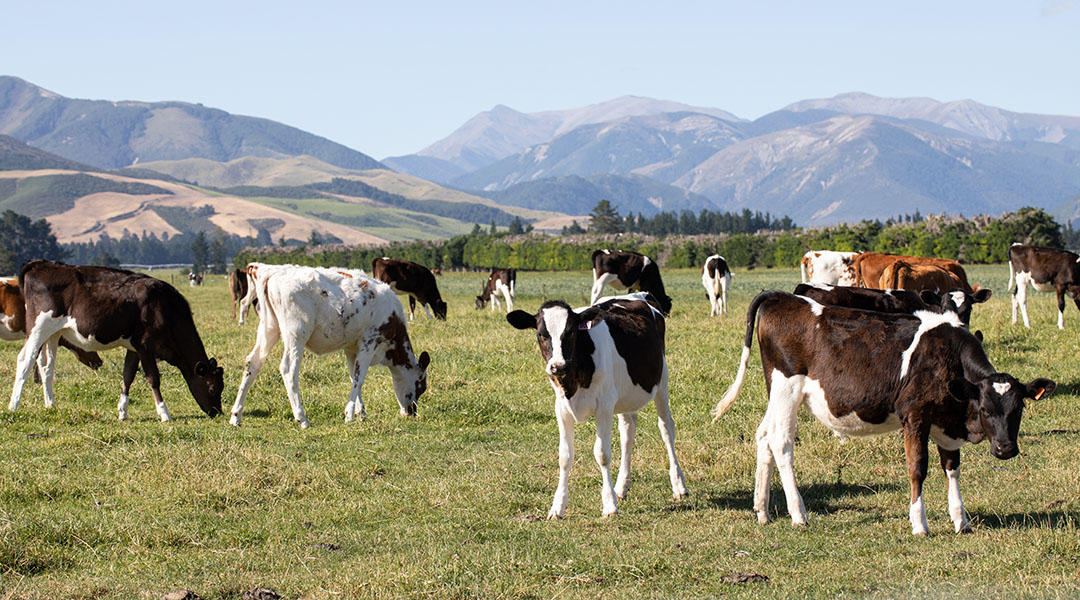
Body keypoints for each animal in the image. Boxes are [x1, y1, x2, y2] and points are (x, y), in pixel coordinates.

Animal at [9, 261, 225, 421]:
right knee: (25, 361)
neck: (165, 307)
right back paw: (13, 406)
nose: (217, 412)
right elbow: (153, 378)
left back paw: (51, 405)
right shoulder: (146, 345)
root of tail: (41, 264)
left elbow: (127, 375)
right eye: (212, 388)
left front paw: (122, 411)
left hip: (53, 333)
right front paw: (164, 413)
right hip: (38, 328)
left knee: (46, 366)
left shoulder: (134, 347)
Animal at [229, 265, 431, 429]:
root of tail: (272, 273)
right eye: (421, 386)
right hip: (296, 334)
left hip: (269, 328)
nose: (412, 412)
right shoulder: (370, 341)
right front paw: (349, 415)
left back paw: (236, 415)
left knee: (253, 363)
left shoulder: (351, 347)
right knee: (288, 369)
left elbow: (353, 376)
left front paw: (361, 413)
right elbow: (360, 378)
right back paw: (302, 418)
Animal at [506, 292, 688, 518]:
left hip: (661, 381)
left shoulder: (605, 405)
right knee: (628, 431)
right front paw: (558, 506)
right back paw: (622, 487)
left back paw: (679, 485)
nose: (557, 366)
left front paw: (609, 505)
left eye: (571, 332)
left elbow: (602, 454)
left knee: (666, 428)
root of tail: (640, 294)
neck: (574, 379)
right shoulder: (561, 408)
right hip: (623, 395)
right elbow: (565, 456)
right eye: (541, 334)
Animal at [711, 290, 1054, 535]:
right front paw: (919, 523)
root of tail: (781, 297)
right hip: (786, 388)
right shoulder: (915, 415)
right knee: (781, 442)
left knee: (763, 436)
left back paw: (762, 509)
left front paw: (961, 521)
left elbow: (952, 468)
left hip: (777, 392)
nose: (1005, 449)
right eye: (984, 407)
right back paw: (798, 514)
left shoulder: (946, 420)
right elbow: (918, 469)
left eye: (1019, 408)